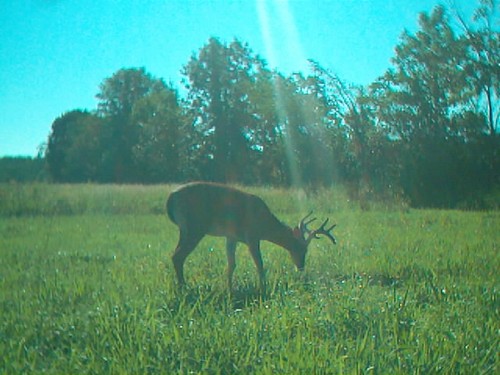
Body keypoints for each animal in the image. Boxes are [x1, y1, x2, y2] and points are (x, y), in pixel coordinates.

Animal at [167, 182, 336, 290]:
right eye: (301, 249)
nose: (300, 267)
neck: (265, 224)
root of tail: (171, 197)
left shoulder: (232, 237)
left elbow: (231, 264)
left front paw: (230, 289)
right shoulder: (252, 236)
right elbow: (259, 264)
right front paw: (263, 288)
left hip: (185, 230)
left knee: (175, 255)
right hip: (195, 227)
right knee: (177, 256)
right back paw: (184, 289)